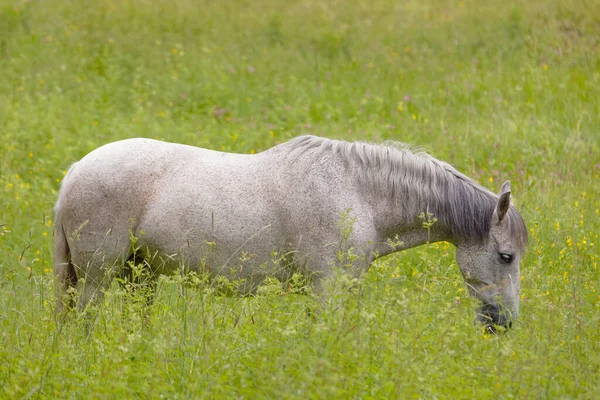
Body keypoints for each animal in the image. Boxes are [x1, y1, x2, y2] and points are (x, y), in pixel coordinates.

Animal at [54, 134, 528, 328]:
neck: (358, 192)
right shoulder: (326, 287)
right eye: (506, 256)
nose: (503, 325)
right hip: (97, 277)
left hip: (141, 276)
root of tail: (76, 170)